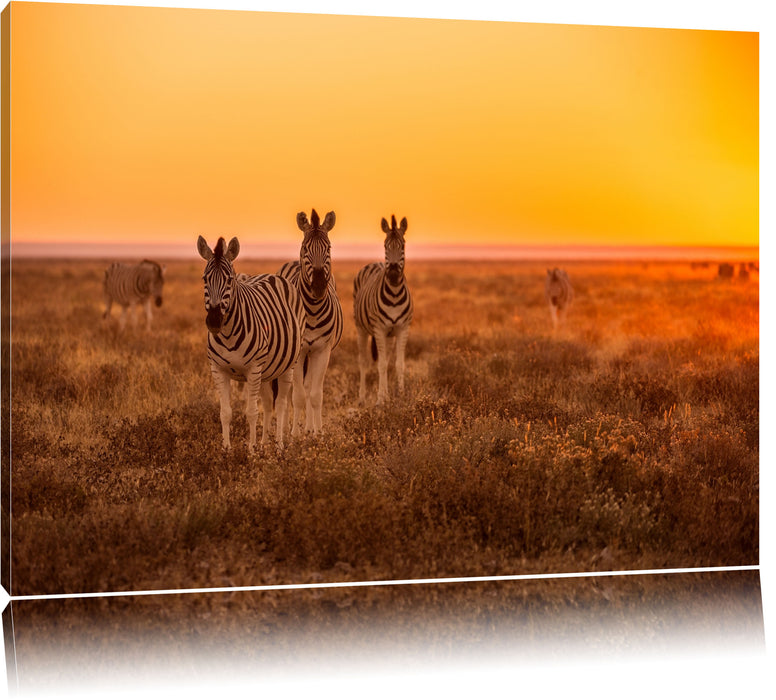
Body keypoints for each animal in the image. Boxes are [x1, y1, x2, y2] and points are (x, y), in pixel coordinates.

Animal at [197, 236, 305, 452]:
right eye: (205, 279)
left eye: (229, 280)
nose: (214, 321)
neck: (228, 334)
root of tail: (273, 276)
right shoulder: (218, 370)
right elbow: (225, 412)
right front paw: (227, 450)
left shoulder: (253, 369)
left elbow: (252, 412)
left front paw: (251, 451)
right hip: (266, 370)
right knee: (268, 401)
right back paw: (265, 444)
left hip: (288, 365)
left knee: (281, 403)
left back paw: (279, 446)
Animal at [275, 208, 343, 435]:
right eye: (305, 248)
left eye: (328, 248)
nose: (319, 286)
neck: (312, 310)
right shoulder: (299, 351)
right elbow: (297, 396)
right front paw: (294, 435)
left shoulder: (323, 350)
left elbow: (315, 394)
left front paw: (317, 433)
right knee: (289, 392)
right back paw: (288, 428)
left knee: (309, 386)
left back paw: (309, 429)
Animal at [353, 215, 414, 406]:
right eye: (386, 246)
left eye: (403, 245)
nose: (393, 275)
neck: (394, 294)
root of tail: (375, 262)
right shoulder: (379, 329)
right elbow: (380, 365)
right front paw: (380, 399)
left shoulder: (402, 328)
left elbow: (398, 364)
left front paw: (401, 395)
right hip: (361, 328)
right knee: (363, 361)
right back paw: (362, 397)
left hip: (389, 335)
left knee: (385, 359)